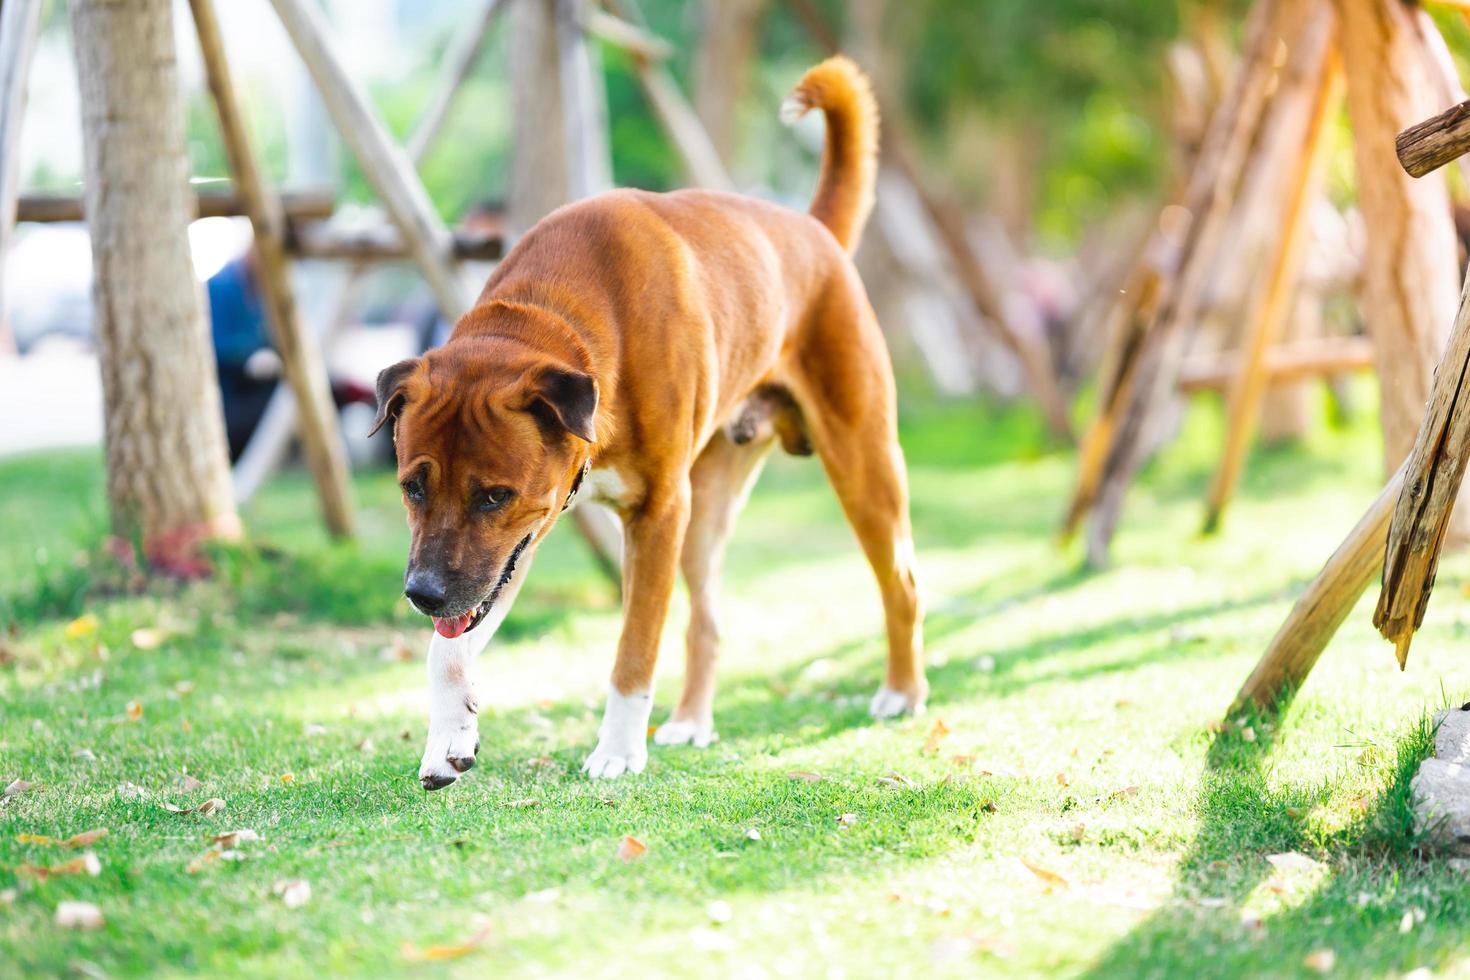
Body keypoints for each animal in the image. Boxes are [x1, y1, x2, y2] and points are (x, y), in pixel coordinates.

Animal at [379, 55, 923, 787]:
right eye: (412, 487)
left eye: (493, 495)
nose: (423, 593)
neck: (563, 316)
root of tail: (813, 231)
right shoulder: (522, 544)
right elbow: (450, 649)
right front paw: (448, 739)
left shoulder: (655, 511)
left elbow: (634, 649)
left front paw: (615, 751)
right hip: (706, 512)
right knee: (709, 622)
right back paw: (690, 722)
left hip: (861, 463)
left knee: (903, 582)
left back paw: (902, 693)